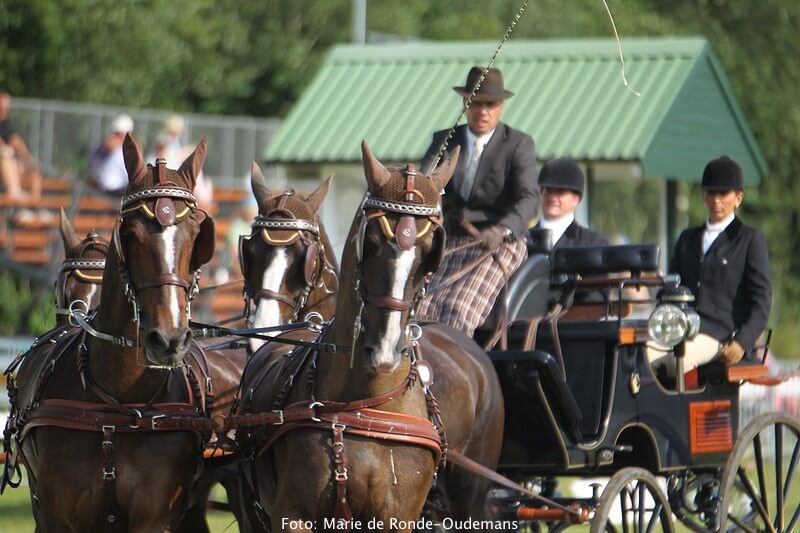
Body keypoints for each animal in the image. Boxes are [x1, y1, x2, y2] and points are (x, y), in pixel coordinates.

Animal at [3, 135, 220, 532]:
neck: (120, 402)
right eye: (130, 233)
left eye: (198, 235)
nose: (168, 340)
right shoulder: (57, 514)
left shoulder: (156, 517)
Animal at [233, 141, 504, 531]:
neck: (367, 404)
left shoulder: (396, 518)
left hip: (471, 494)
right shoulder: (291, 515)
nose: (386, 349)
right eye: (371, 241)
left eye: (430, 252)